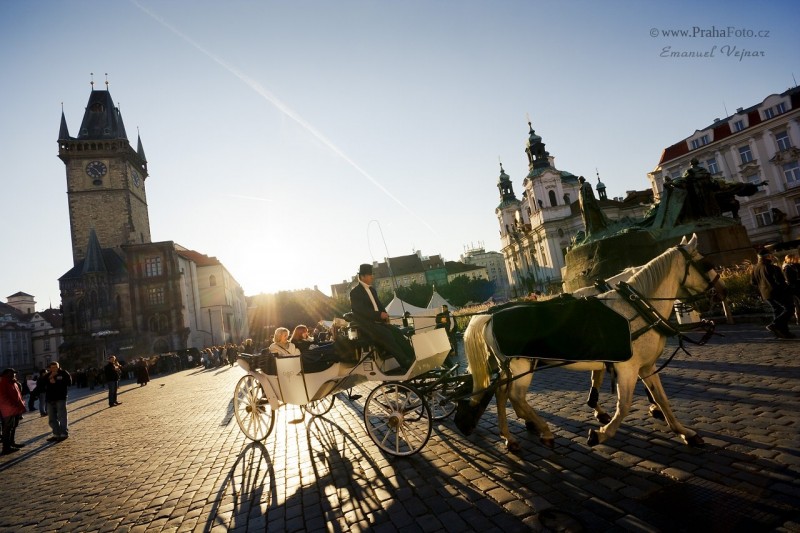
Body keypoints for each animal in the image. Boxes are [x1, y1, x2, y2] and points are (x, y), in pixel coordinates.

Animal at [462, 235, 724, 450]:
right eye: (706, 264)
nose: (721, 291)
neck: (636, 306)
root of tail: (490, 315)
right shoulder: (627, 368)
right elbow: (624, 404)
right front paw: (601, 432)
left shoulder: (646, 366)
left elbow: (662, 398)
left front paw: (684, 431)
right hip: (521, 366)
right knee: (516, 397)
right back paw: (543, 430)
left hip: (511, 368)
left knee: (501, 394)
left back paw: (509, 436)